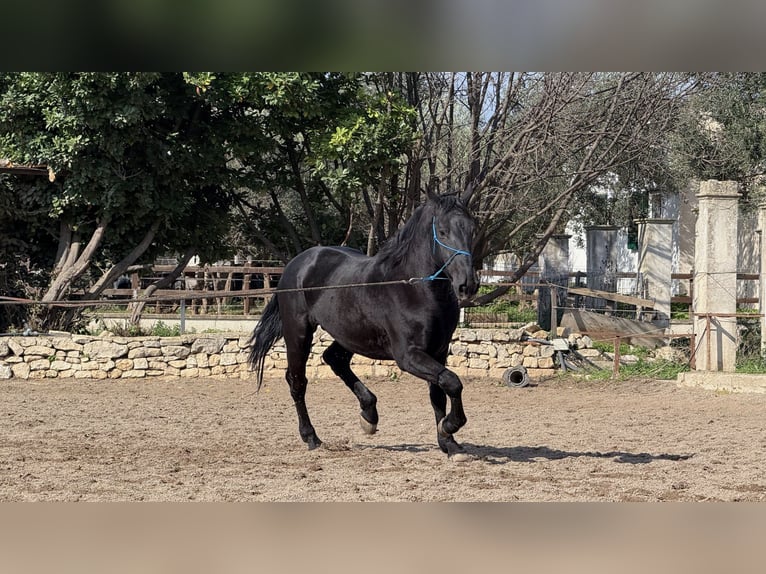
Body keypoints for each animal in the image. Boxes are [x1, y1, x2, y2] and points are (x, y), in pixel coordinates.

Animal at [248, 191, 479, 460]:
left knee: (334, 359)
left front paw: (449, 444)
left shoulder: (438, 353)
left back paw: (369, 415)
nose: (468, 285)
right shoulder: (408, 356)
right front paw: (450, 426)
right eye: (442, 231)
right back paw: (311, 437)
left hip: (350, 334)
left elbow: (439, 393)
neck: (413, 288)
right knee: (297, 381)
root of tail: (295, 265)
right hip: (298, 333)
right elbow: (452, 382)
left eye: (472, 229)